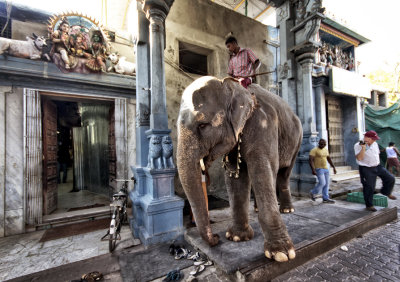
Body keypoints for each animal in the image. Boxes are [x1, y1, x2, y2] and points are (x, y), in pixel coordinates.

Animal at [177, 75, 302, 262]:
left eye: (203, 125)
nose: (216, 238)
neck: (234, 86)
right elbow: (235, 178)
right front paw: (237, 237)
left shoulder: (264, 126)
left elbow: (262, 170)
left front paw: (281, 254)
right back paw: (258, 208)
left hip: (297, 140)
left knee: (284, 173)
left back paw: (287, 209)